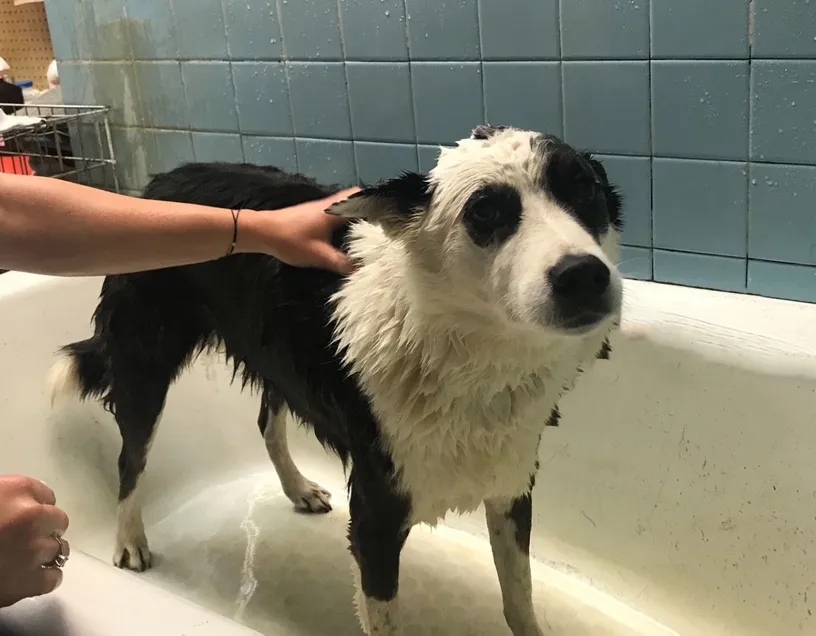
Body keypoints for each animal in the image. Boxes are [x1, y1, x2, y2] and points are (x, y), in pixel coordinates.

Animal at [49, 125, 624, 636]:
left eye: (585, 189)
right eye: (484, 212)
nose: (584, 276)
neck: (462, 349)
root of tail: (157, 184)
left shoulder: (509, 482)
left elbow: (519, 599)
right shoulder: (375, 515)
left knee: (265, 421)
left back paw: (298, 488)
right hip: (145, 364)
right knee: (131, 458)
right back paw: (129, 542)